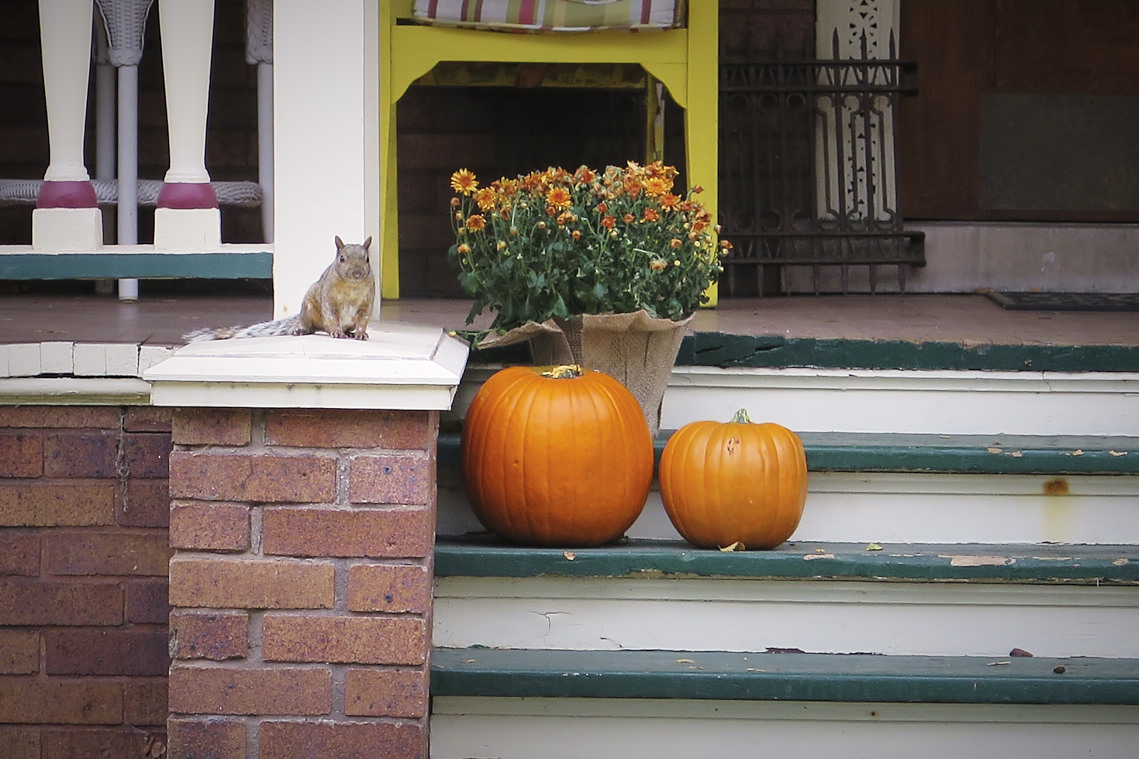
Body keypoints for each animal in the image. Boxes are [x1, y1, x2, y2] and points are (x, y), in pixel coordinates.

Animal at [184, 234, 375, 341]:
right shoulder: (328, 297)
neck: (352, 286)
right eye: (342, 258)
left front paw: (360, 334)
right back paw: (302, 330)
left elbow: (363, 319)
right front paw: (336, 332)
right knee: (314, 327)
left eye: (367, 259)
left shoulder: (367, 302)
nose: (357, 273)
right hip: (309, 310)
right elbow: (331, 316)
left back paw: (349, 333)